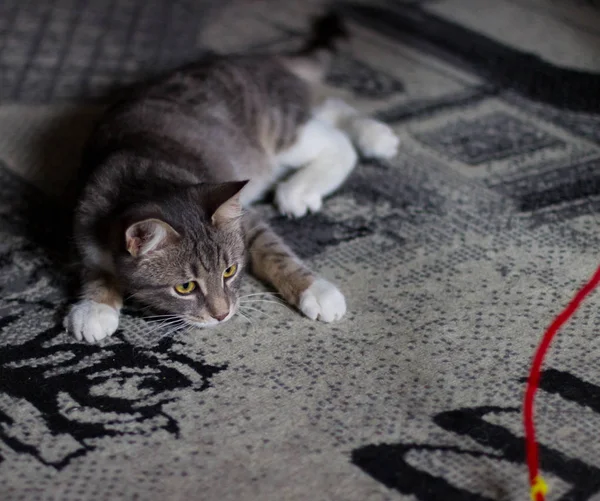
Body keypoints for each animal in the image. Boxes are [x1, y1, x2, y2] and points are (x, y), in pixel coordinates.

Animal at [64, 13, 398, 342]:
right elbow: (94, 268)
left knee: (335, 140)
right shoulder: (86, 216)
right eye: (185, 287)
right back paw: (375, 135)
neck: (139, 176)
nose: (222, 314)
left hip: (277, 129)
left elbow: (273, 251)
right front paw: (95, 306)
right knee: (328, 109)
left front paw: (315, 290)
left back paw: (308, 183)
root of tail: (259, 60)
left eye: (230, 271)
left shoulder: (245, 219)